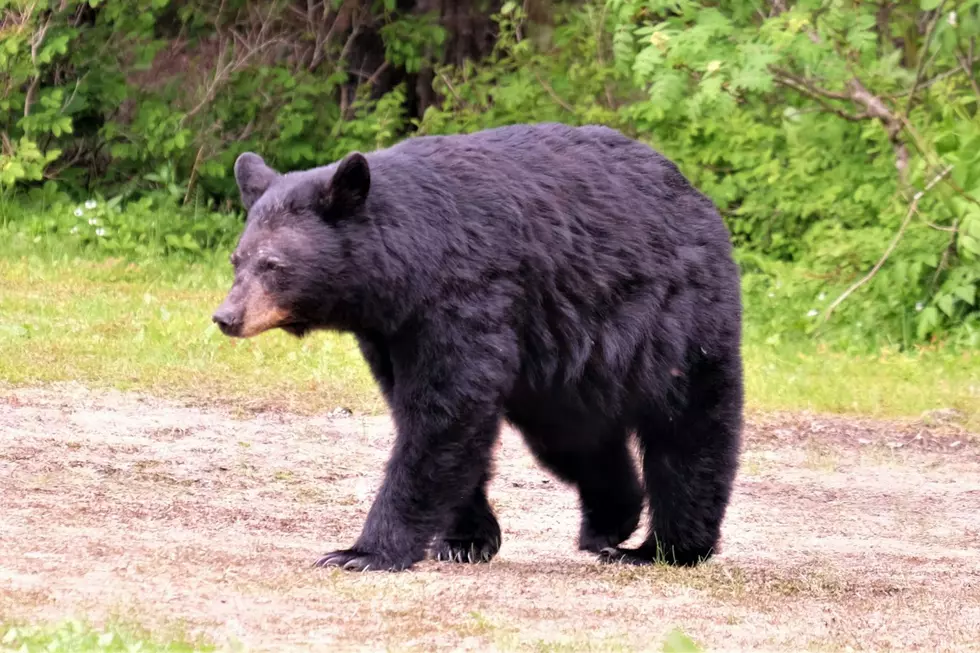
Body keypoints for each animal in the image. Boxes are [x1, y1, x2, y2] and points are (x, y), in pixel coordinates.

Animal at [212, 122, 743, 572]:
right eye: (238, 258)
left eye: (273, 264)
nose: (226, 317)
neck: (407, 269)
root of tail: (696, 196)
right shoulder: (392, 332)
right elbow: (426, 414)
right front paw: (465, 540)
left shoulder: (465, 296)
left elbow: (446, 412)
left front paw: (361, 552)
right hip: (563, 369)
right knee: (575, 439)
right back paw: (609, 522)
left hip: (675, 319)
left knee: (688, 428)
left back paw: (666, 548)